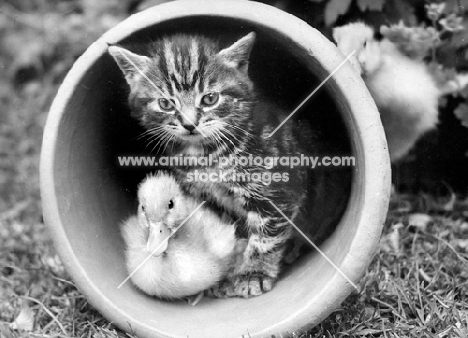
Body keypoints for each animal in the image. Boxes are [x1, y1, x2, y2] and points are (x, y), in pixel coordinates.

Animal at [108, 33, 312, 298]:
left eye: (210, 99)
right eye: (165, 104)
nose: (189, 124)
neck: (205, 156)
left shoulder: (276, 193)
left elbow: (265, 239)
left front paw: (253, 274)